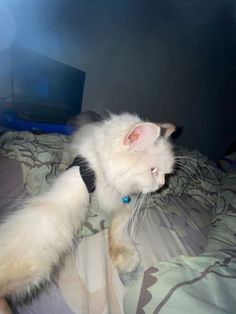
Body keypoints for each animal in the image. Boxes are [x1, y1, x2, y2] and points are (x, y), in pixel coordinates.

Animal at [0, 112, 173, 302]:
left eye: (165, 174)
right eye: (153, 171)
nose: (162, 185)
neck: (108, 180)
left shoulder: (127, 200)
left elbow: (118, 227)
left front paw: (124, 256)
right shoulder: (79, 179)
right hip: (68, 152)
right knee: (64, 156)